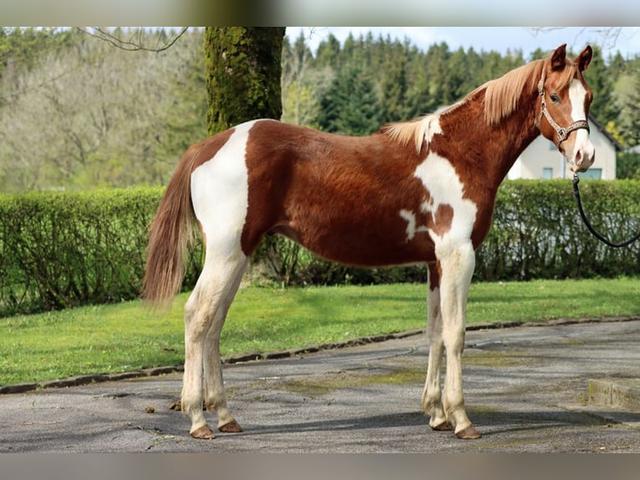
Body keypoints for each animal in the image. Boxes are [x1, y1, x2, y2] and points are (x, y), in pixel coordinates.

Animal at [143, 43, 595, 440]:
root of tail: (208, 146)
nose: (585, 156)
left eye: (587, 97)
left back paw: (224, 415)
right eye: (555, 95)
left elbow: (434, 333)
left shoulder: (436, 263)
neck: (460, 153)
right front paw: (462, 419)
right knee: (198, 317)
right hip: (226, 253)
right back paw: (198, 419)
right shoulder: (458, 257)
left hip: (238, 255)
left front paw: (436, 414)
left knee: (214, 323)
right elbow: (456, 334)